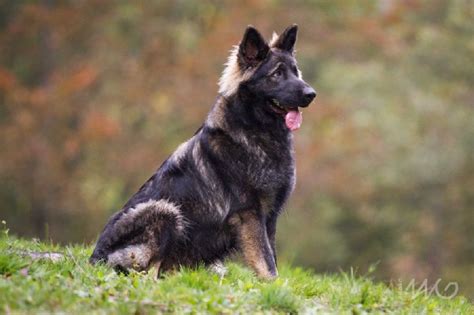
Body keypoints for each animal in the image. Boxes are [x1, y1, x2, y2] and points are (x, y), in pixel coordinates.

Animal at [90, 25, 316, 282]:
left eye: (296, 72)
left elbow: (271, 255)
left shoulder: (270, 216)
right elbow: (266, 260)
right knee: (149, 274)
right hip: (165, 211)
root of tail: (95, 259)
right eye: (276, 74)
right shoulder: (249, 214)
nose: (312, 93)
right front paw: (273, 285)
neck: (256, 132)